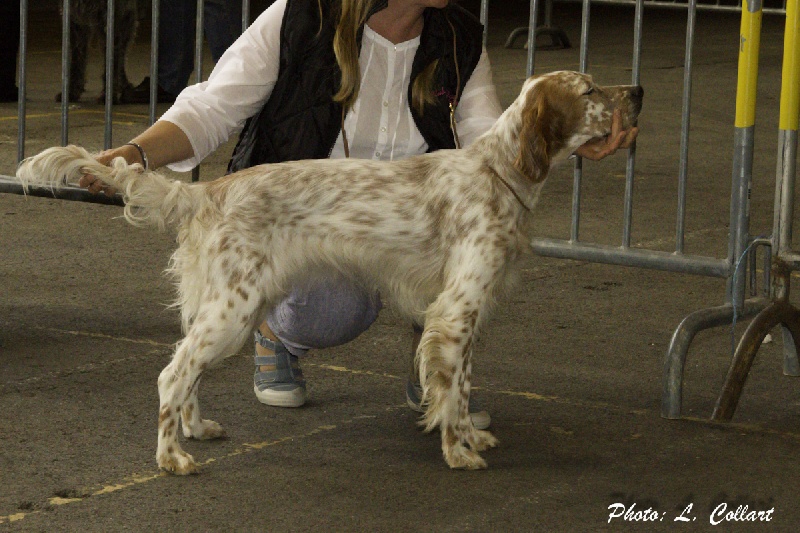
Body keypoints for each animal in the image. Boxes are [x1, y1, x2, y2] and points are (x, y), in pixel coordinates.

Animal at [18, 71, 644, 474]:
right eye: (589, 89)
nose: (638, 92)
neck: (500, 171)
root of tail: (208, 189)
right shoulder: (456, 310)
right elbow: (451, 393)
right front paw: (458, 451)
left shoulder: (463, 315)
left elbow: (461, 385)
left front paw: (472, 435)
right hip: (234, 311)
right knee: (172, 374)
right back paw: (173, 457)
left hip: (220, 306)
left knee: (187, 368)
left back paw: (197, 427)